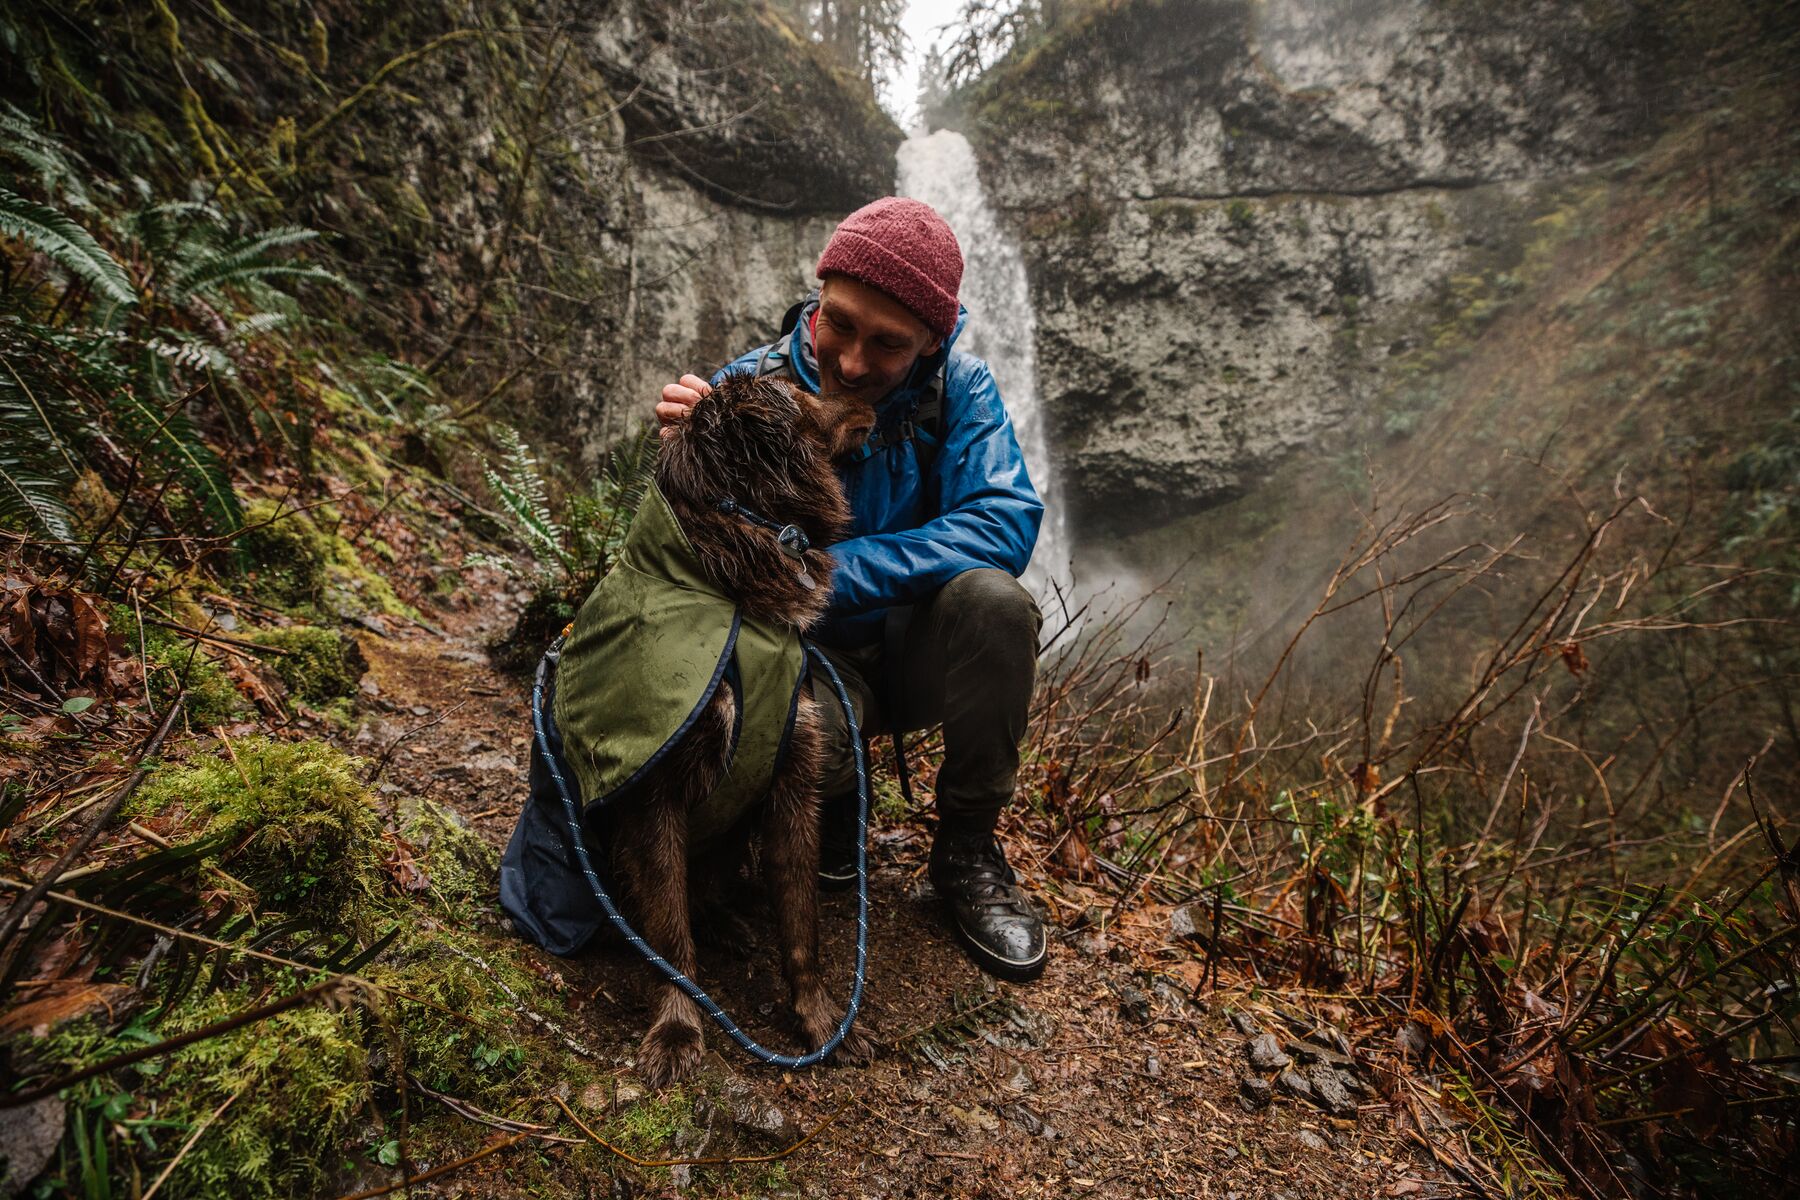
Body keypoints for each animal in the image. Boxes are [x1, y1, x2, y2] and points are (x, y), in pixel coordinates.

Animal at [612, 370, 878, 1086]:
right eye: (807, 390)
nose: (869, 398)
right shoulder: (655, 790)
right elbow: (669, 936)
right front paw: (678, 1030)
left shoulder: (792, 775)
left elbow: (802, 928)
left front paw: (820, 1021)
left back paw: (729, 924)